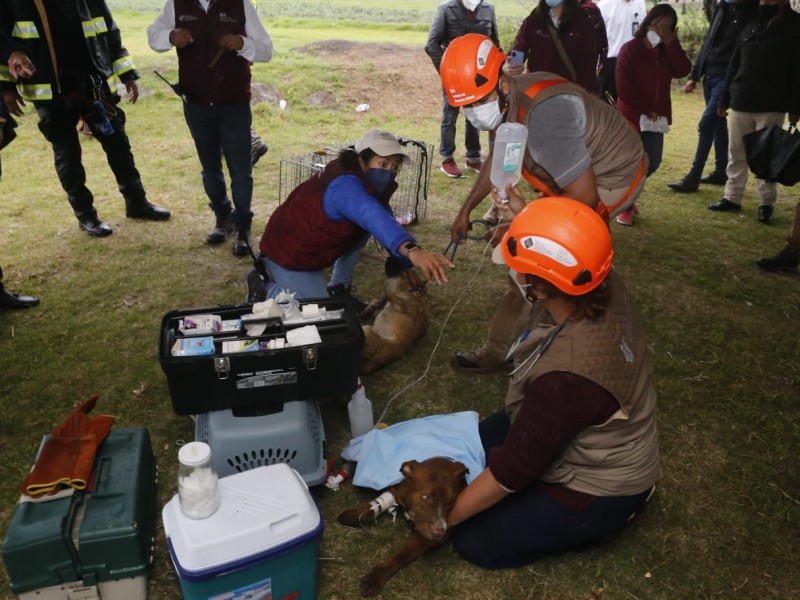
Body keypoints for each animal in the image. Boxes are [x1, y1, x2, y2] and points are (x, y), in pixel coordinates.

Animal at [334, 458, 466, 596]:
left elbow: (401, 556)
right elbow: (371, 508)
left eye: (451, 502)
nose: (439, 532)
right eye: (426, 497)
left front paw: (377, 576)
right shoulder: (398, 490)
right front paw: (355, 515)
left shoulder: (423, 539)